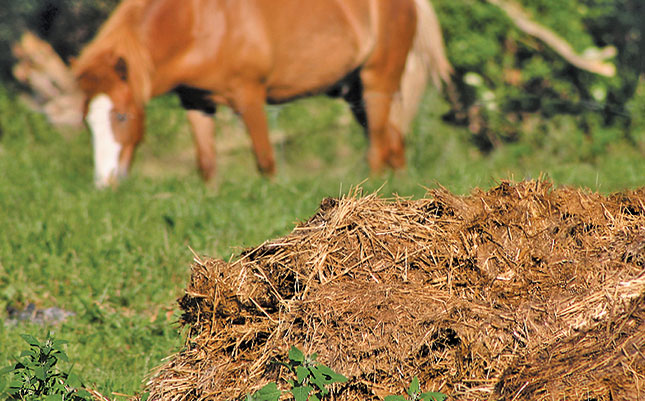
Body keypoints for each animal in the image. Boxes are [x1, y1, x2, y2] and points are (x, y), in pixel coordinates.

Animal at [74, 0, 448, 186]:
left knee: (378, 146)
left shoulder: (249, 95)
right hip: (354, 91)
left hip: (377, 81)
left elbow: (266, 161)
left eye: (122, 116)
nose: (104, 182)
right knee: (393, 141)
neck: (199, 21)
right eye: (88, 123)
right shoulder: (196, 102)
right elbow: (207, 163)